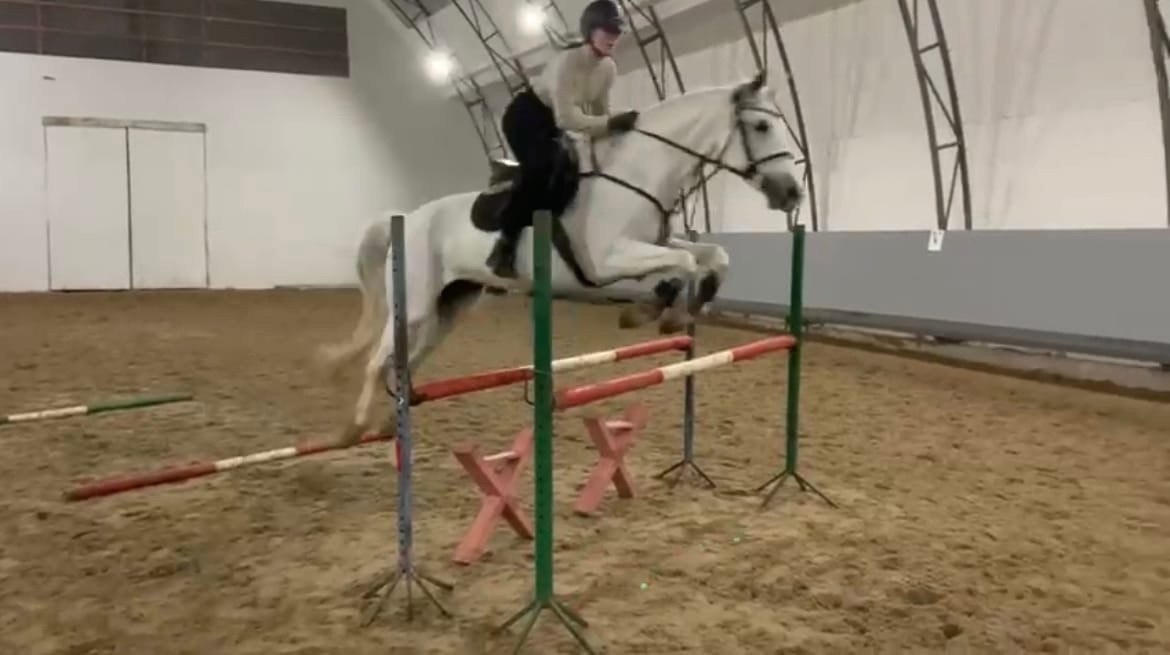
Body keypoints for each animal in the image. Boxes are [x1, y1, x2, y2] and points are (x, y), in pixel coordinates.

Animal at [318, 72, 805, 444]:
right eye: (762, 127)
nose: (793, 193)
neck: (638, 173)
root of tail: (409, 217)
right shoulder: (608, 260)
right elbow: (683, 266)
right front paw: (654, 312)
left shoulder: (655, 243)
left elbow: (712, 254)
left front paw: (680, 307)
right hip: (416, 302)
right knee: (378, 357)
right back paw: (355, 427)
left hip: (451, 307)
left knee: (408, 362)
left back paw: (387, 420)